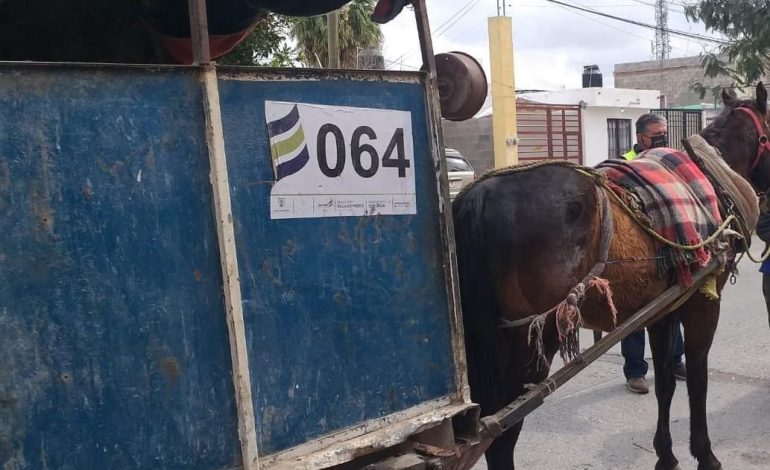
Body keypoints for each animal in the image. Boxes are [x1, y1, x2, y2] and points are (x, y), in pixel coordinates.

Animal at [450, 82, 768, 468]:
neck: (713, 172)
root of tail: (480, 193)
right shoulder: (703, 303)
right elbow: (697, 378)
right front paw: (705, 454)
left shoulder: (663, 310)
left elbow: (666, 381)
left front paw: (666, 454)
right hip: (527, 345)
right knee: (499, 435)